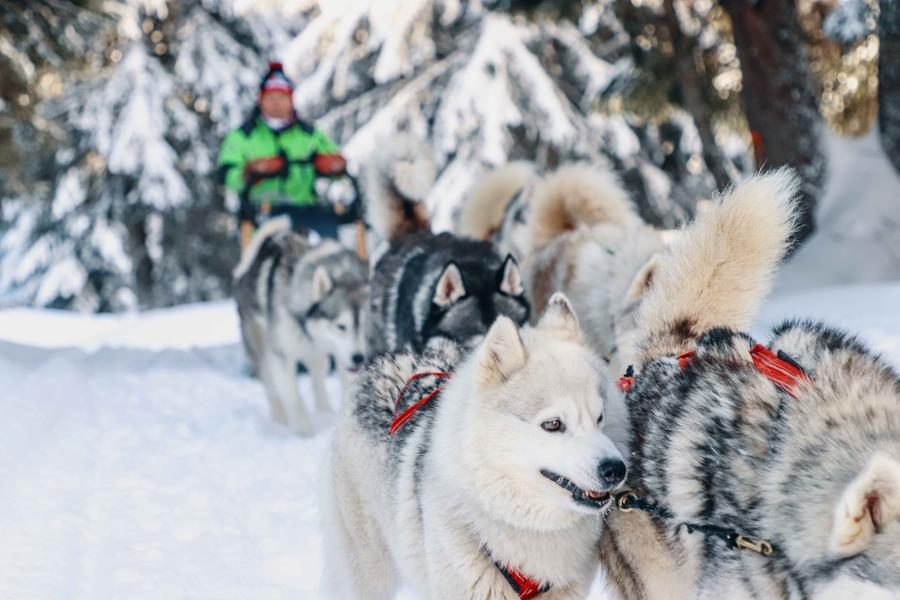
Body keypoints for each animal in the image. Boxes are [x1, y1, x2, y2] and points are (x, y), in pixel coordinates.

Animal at [236, 218, 372, 434]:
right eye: (341, 326)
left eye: (366, 327)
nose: (359, 358)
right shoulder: (282, 356)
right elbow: (292, 397)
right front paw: (303, 431)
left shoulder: (340, 356)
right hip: (262, 352)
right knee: (271, 387)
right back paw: (279, 420)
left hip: (317, 356)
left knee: (318, 380)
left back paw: (324, 412)